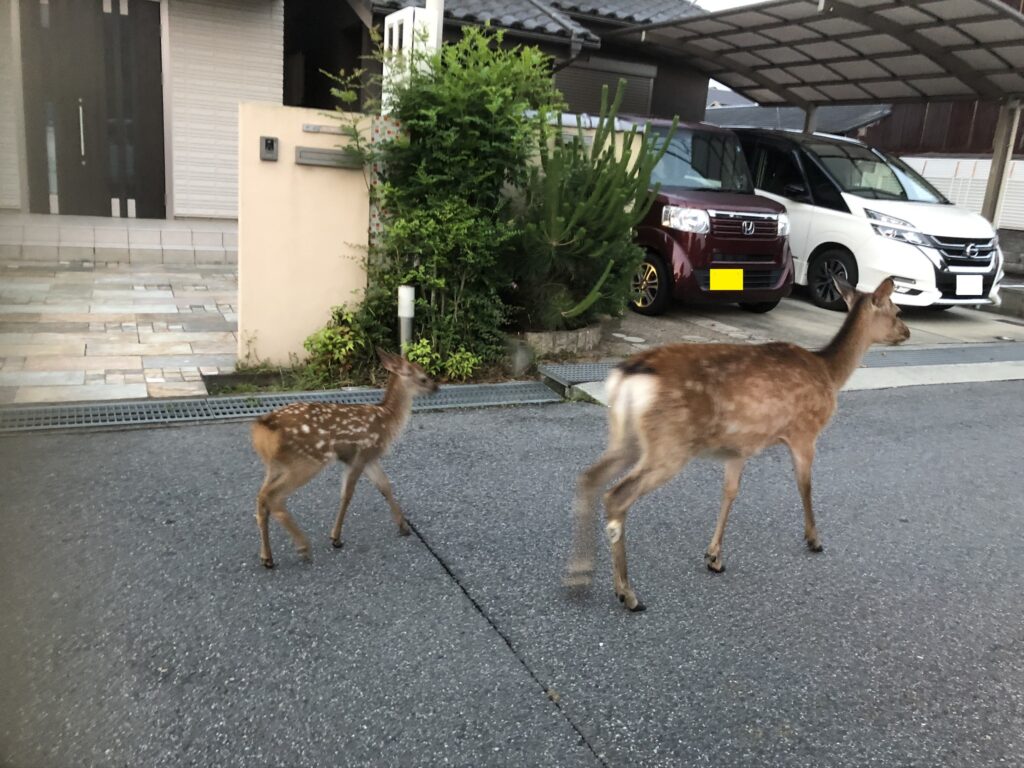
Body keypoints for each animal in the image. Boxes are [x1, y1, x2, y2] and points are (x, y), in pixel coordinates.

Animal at [250, 349, 438, 568]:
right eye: (423, 378)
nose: (437, 387)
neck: (387, 420)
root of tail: (263, 428)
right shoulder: (361, 454)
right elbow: (347, 495)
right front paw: (336, 538)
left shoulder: (369, 458)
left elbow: (385, 487)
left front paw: (403, 527)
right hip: (307, 460)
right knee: (275, 498)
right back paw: (303, 547)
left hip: (275, 466)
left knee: (262, 497)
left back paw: (267, 557)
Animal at [565, 276, 910, 612]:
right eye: (896, 311)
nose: (905, 332)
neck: (829, 372)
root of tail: (628, 375)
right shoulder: (804, 431)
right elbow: (805, 486)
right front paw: (814, 539)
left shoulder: (739, 447)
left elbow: (730, 492)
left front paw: (714, 557)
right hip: (669, 445)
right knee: (616, 495)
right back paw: (628, 594)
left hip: (627, 437)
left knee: (588, 478)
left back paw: (579, 575)